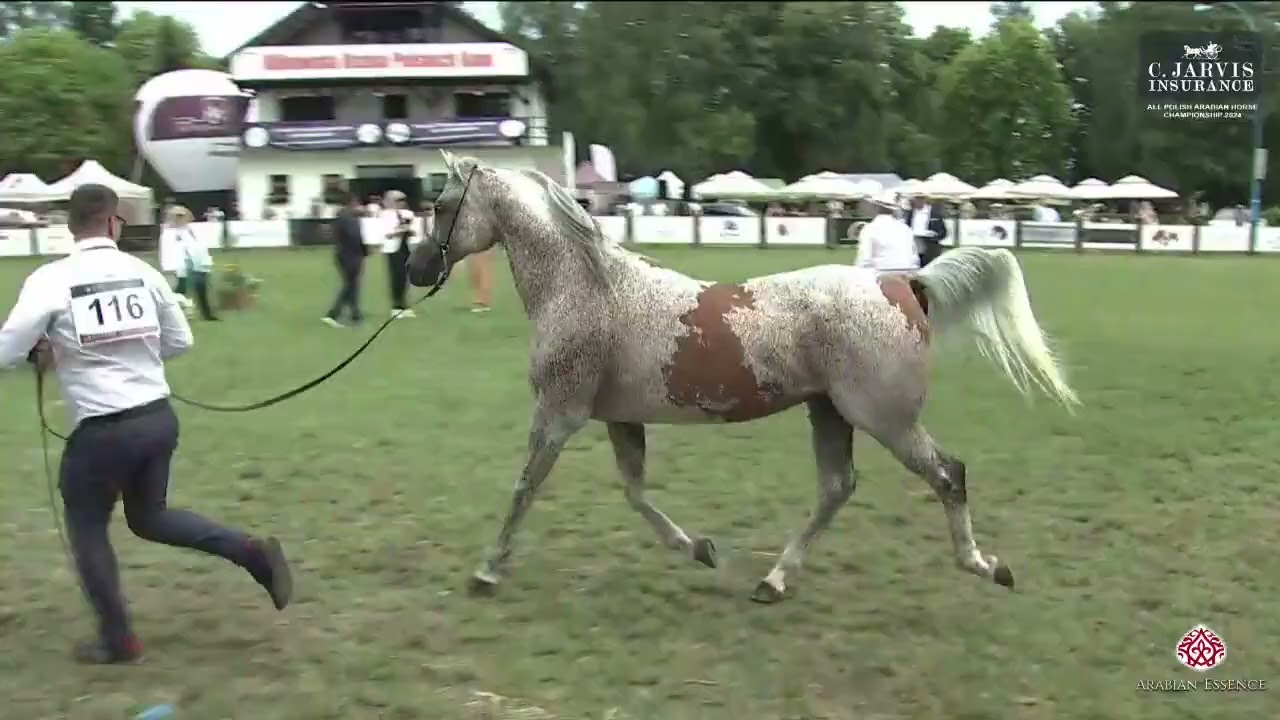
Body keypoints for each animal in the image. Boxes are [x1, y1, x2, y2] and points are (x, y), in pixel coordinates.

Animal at [408, 150, 1080, 603]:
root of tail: (901, 283)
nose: (416, 269)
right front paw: (700, 549)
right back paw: (773, 580)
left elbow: (525, 488)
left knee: (948, 475)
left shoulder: (558, 414)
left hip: (884, 418)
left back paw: (985, 565)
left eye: (440, 205)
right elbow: (636, 494)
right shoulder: (618, 418)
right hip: (830, 413)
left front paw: (486, 570)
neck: (588, 290)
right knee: (838, 487)